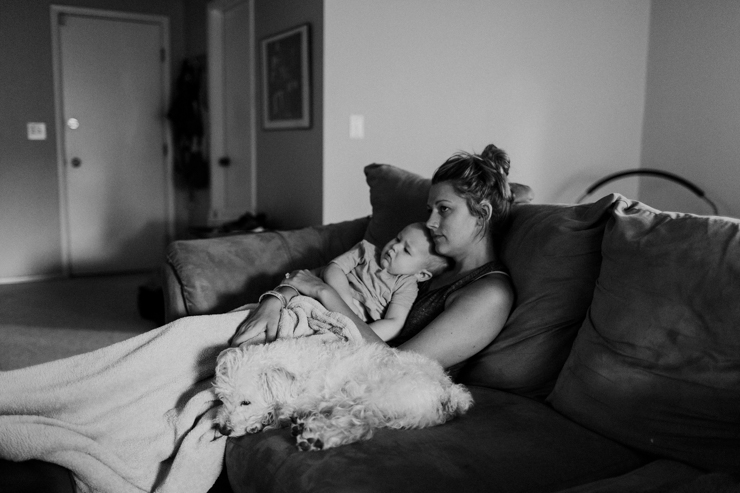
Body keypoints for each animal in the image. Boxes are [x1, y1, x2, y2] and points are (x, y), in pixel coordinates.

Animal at [212, 336, 474, 448]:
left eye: (246, 402)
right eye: (223, 399)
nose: (222, 429)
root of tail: (448, 392)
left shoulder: (304, 398)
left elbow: (283, 413)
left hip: (367, 393)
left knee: (363, 427)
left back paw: (317, 438)